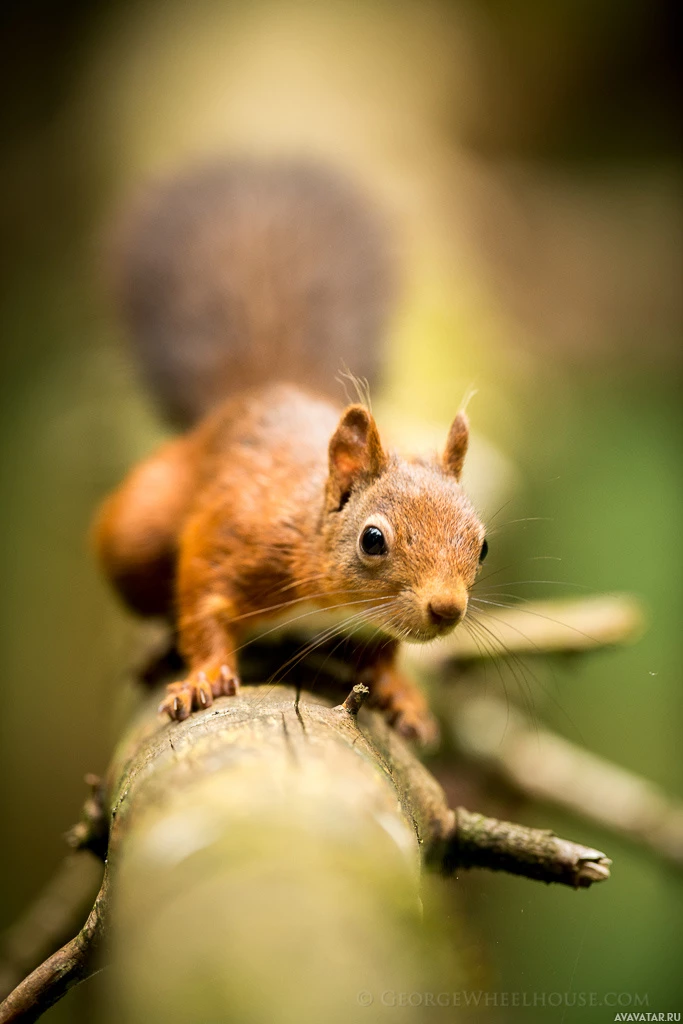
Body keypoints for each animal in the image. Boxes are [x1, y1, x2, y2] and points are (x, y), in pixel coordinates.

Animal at [93, 157, 489, 745]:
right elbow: (201, 606)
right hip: (137, 531)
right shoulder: (234, 536)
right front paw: (202, 675)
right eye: (373, 539)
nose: (446, 608)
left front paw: (401, 693)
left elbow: (385, 652)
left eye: (482, 547)